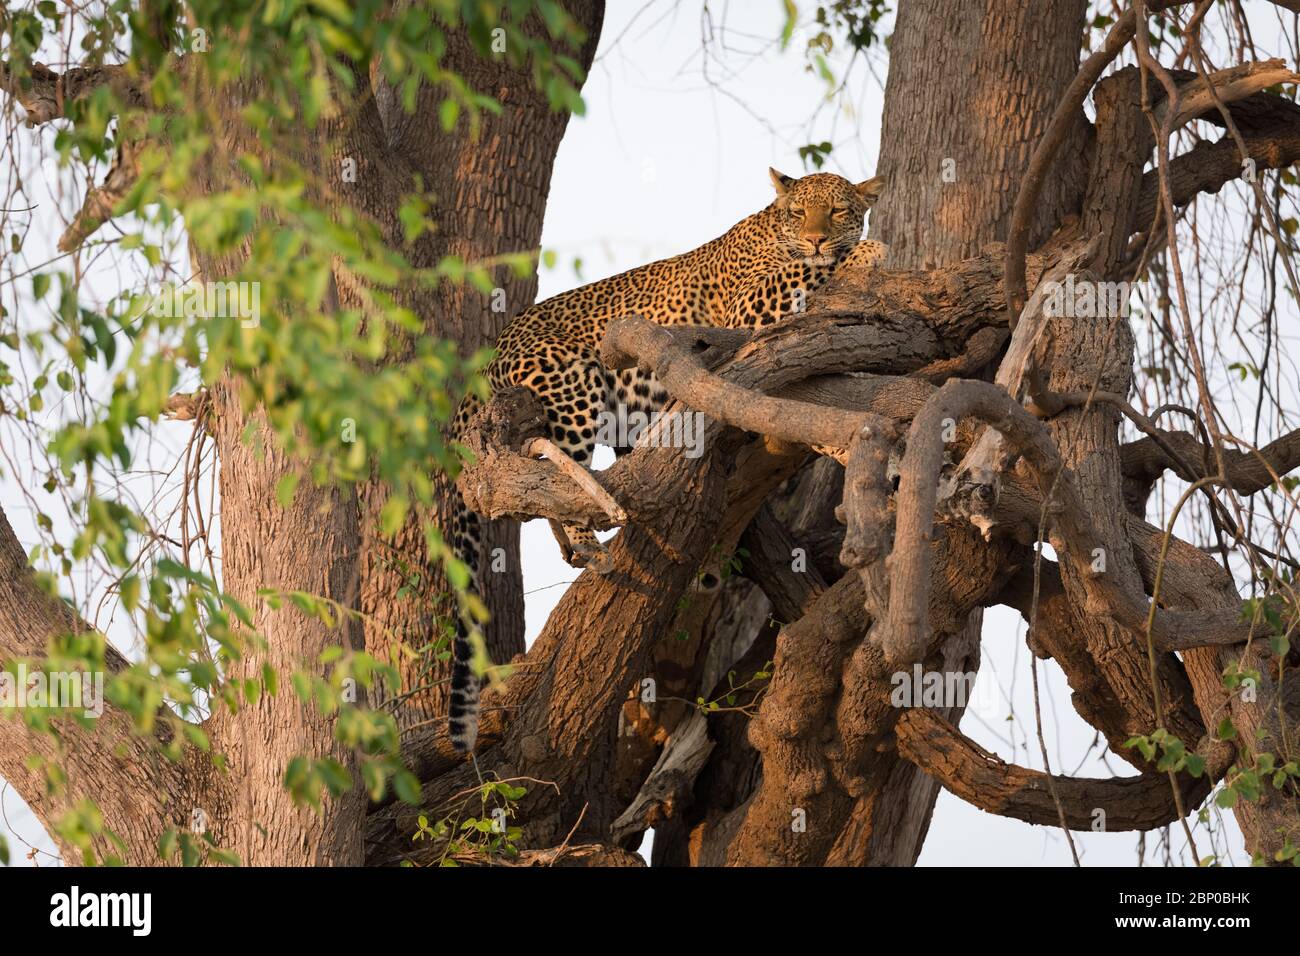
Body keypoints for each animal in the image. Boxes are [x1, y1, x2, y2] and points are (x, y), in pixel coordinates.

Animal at [445, 168, 887, 751]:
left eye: (837, 211)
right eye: (800, 213)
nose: (817, 236)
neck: (774, 228)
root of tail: (492, 351)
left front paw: (858, 249)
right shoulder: (750, 307)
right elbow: (810, 268)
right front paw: (864, 251)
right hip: (575, 387)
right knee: (551, 482)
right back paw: (589, 547)